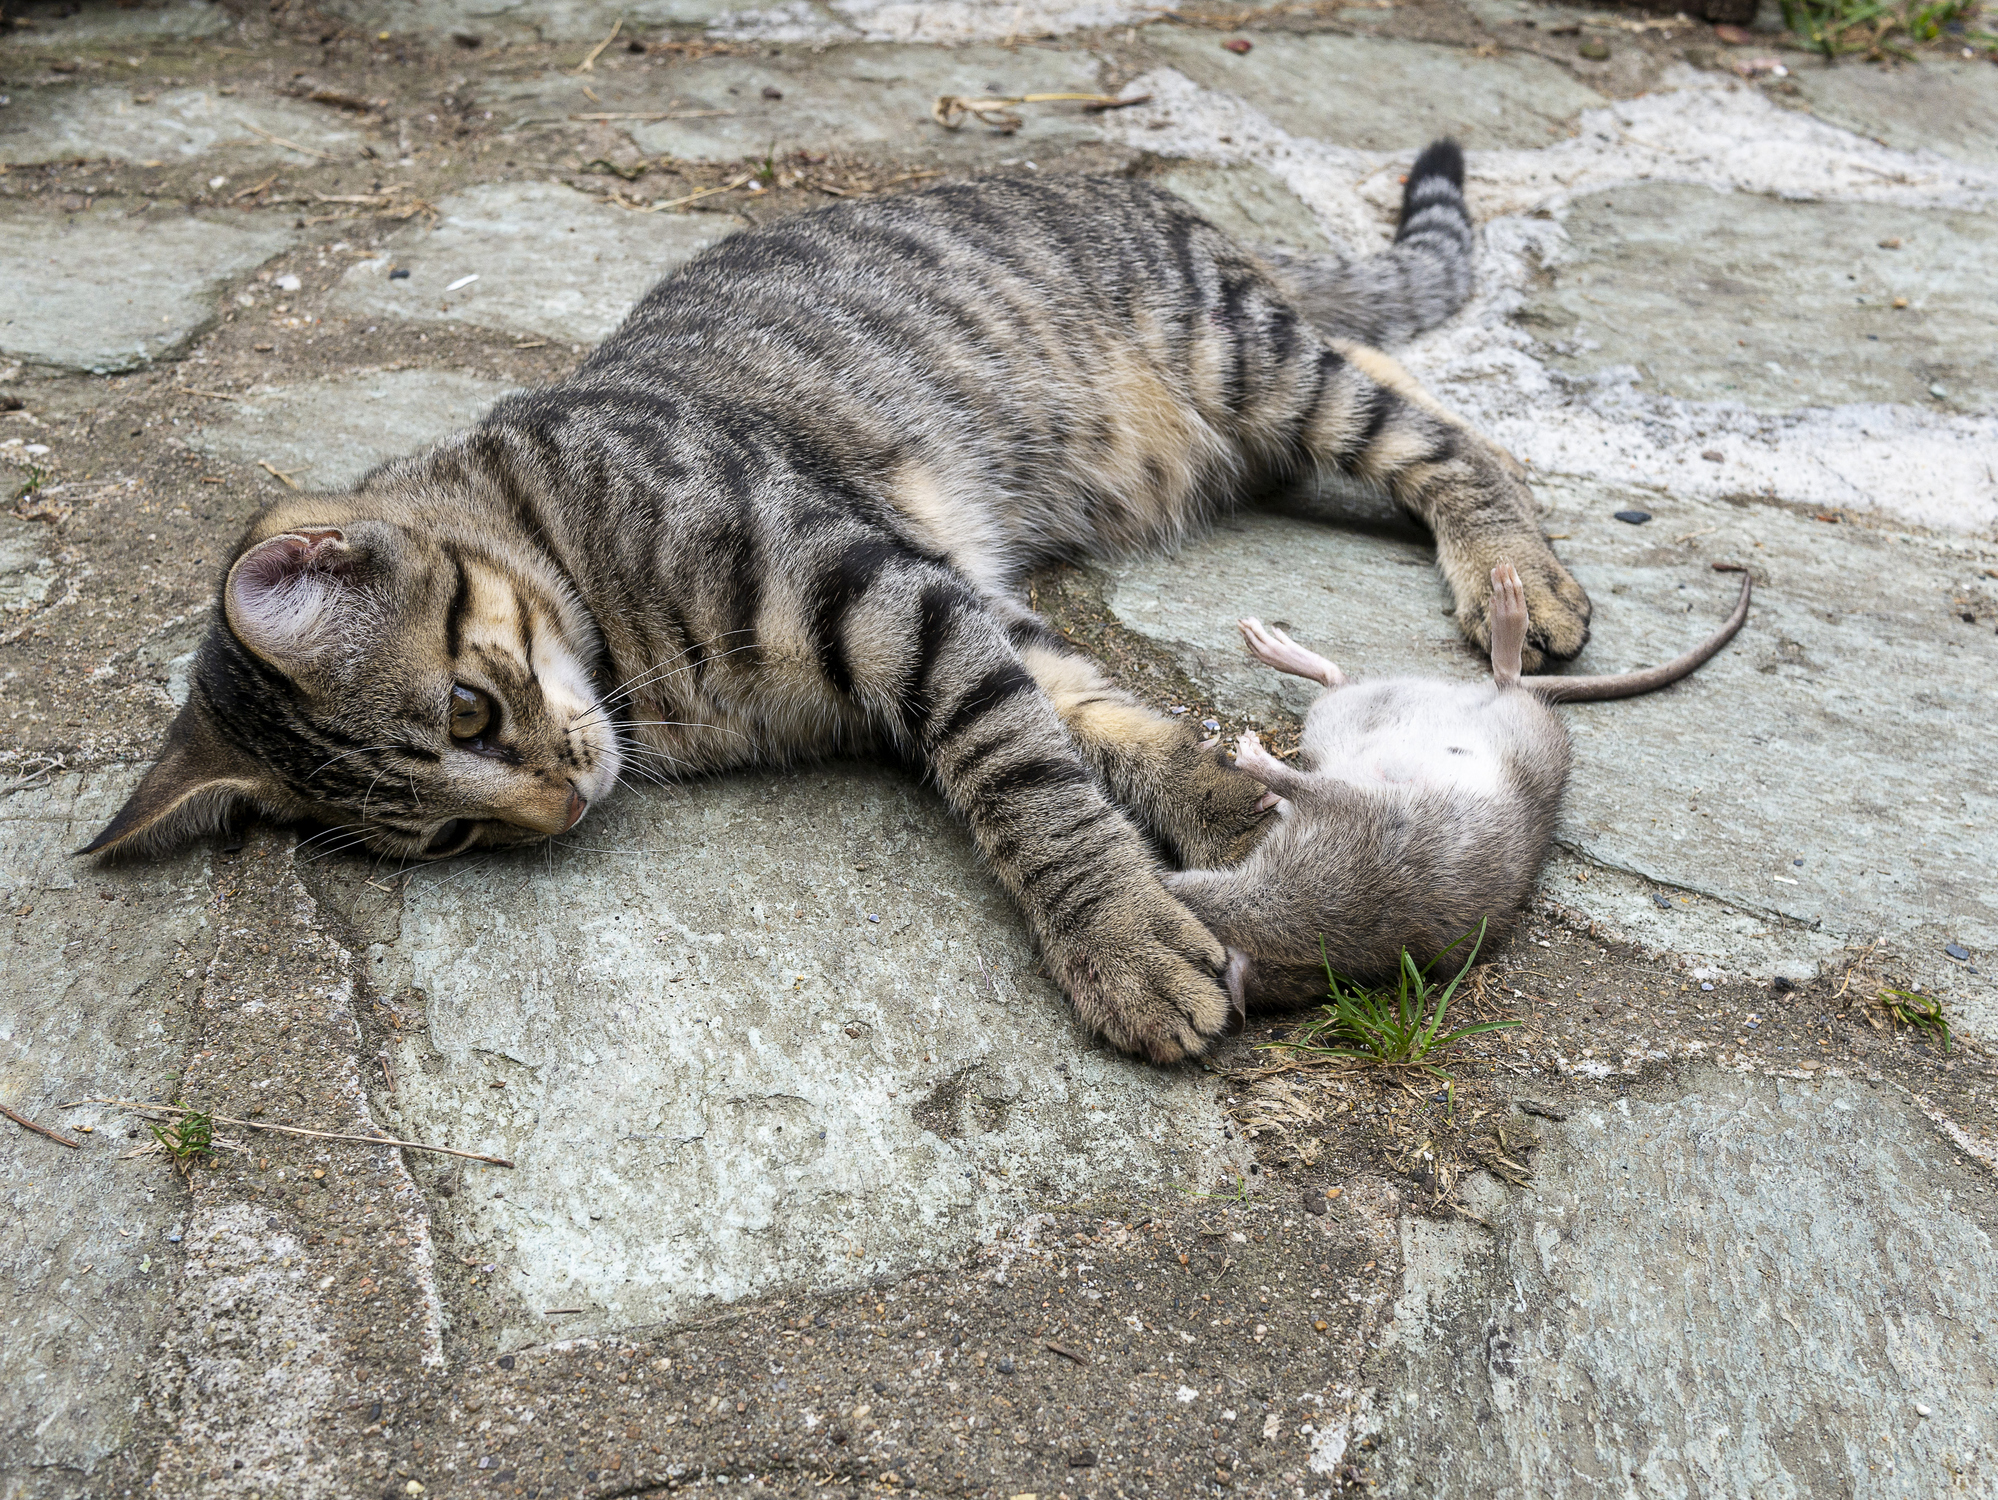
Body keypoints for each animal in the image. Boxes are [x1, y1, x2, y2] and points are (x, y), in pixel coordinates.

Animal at [89, 137, 1590, 1054]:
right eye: (447, 839)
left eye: (469, 708)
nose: (559, 805)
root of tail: (1153, 195)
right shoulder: (960, 603)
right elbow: (1090, 721)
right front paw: (1230, 802)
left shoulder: (889, 597)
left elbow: (1023, 779)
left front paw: (1116, 935)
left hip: (1249, 362)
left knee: (1438, 433)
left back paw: (1517, 573)